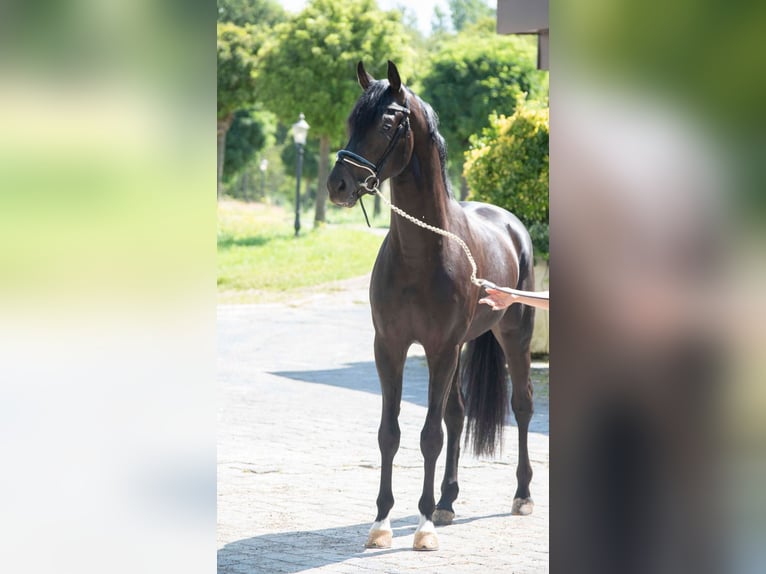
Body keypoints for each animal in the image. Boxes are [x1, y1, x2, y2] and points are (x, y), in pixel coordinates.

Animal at [327, 60, 537, 551]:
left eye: (386, 123)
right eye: (351, 121)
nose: (337, 184)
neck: (422, 253)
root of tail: (511, 223)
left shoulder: (439, 348)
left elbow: (428, 436)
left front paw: (421, 527)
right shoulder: (391, 347)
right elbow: (391, 433)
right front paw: (383, 521)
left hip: (514, 336)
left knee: (521, 405)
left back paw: (521, 494)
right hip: (462, 348)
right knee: (458, 415)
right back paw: (446, 501)